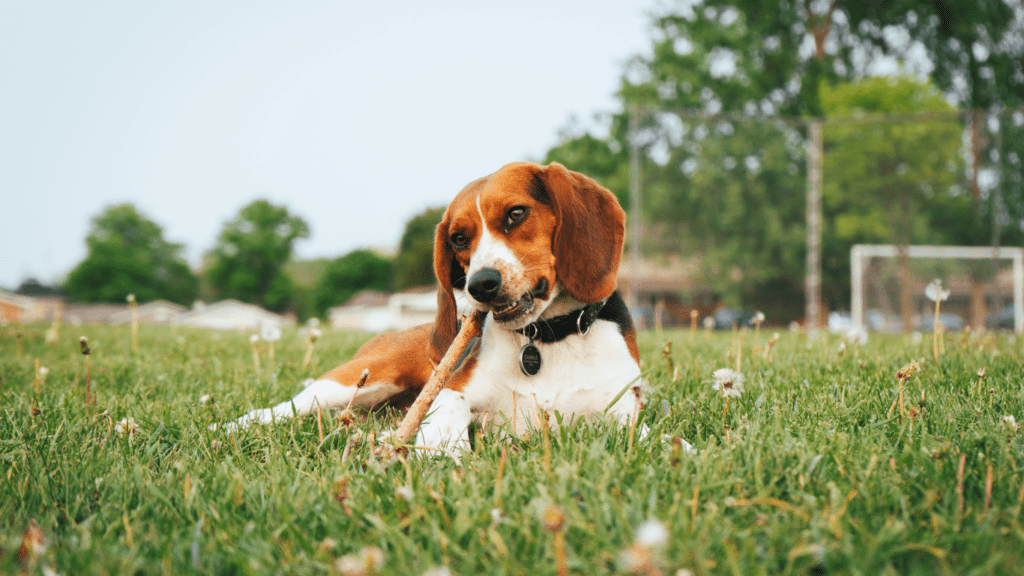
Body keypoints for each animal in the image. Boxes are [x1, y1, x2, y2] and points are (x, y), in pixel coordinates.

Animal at [226, 162, 638, 453]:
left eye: (516, 214)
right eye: (458, 238)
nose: (480, 284)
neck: (548, 338)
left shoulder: (626, 411)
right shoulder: (452, 391)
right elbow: (449, 411)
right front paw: (443, 453)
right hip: (357, 378)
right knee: (278, 409)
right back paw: (226, 429)